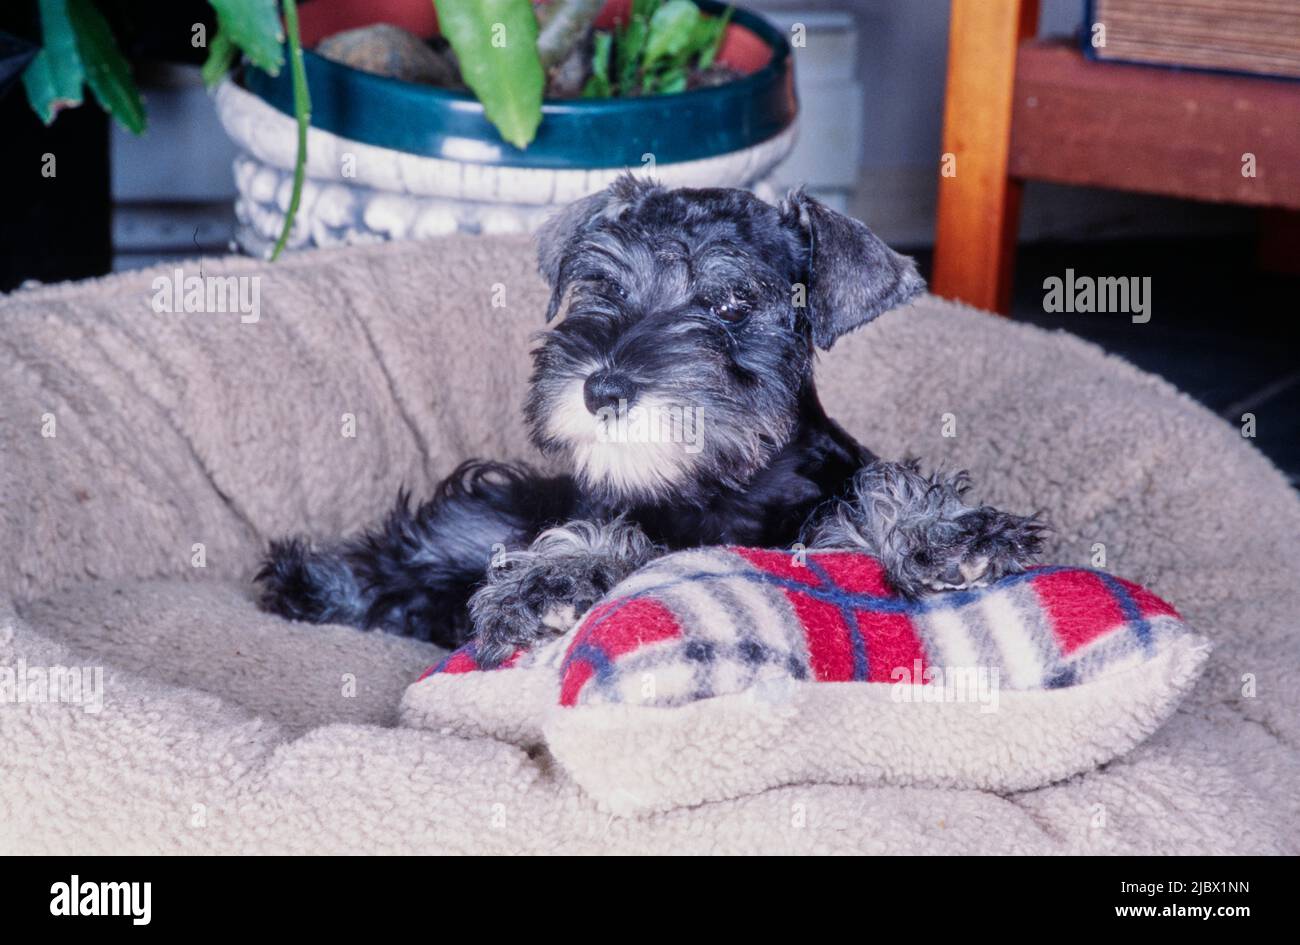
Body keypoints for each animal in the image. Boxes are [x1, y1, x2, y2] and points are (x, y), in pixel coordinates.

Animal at [253, 176, 1045, 665]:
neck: (717, 490)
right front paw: (552, 582)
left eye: (730, 303)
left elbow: (876, 490)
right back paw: (313, 582)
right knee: (411, 549)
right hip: (485, 513)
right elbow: (597, 533)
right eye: (603, 285)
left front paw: (945, 533)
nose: (602, 386)